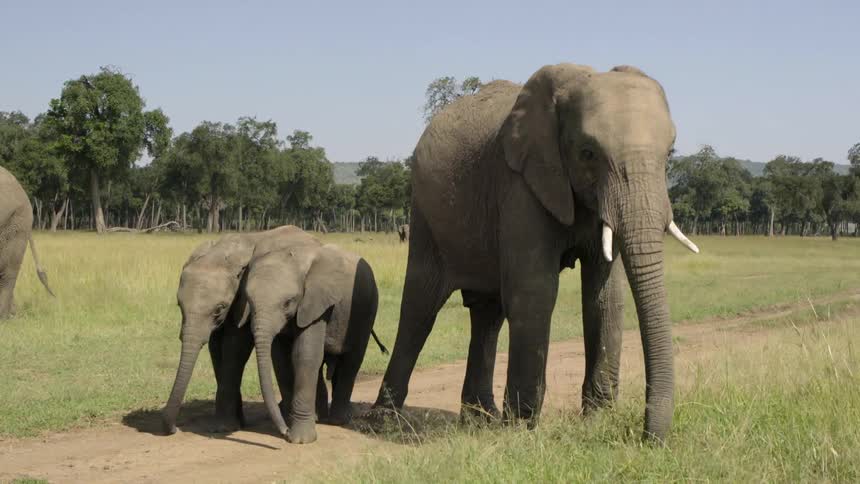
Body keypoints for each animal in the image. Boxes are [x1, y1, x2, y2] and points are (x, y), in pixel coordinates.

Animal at [161, 225, 321, 435]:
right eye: (179, 305)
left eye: (219, 308)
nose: (174, 429)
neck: (222, 253)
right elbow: (216, 348)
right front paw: (233, 422)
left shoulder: (243, 300)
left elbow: (235, 347)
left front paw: (225, 426)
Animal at [244, 235, 380, 444]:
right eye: (249, 301)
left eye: (288, 302)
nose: (285, 432)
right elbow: (281, 360)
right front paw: (294, 425)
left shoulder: (317, 303)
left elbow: (305, 356)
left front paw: (300, 439)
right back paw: (320, 416)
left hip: (368, 308)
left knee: (352, 360)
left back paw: (337, 420)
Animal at [373, 64, 699, 442]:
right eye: (587, 153)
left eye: (670, 154)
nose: (647, 438)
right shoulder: (520, 182)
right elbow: (535, 291)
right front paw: (521, 428)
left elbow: (605, 296)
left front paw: (597, 419)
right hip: (426, 214)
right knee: (420, 307)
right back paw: (384, 420)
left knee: (487, 313)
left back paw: (480, 419)